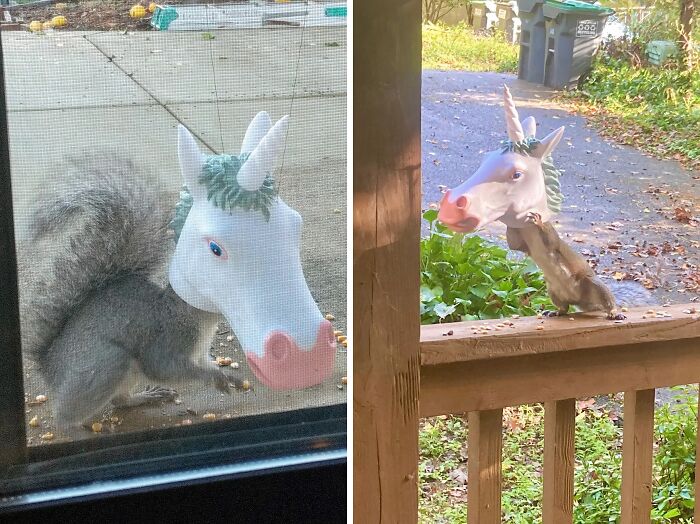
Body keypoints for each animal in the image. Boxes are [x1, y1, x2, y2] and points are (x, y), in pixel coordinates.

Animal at [17, 155, 238, 430]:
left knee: (120, 401)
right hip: (107, 363)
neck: (192, 316)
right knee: (66, 415)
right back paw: (74, 428)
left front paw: (226, 375)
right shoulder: (168, 339)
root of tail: (49, 366)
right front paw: (214, 377)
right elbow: (164, 368)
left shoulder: (199, 352)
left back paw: (146, 397)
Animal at [504, 212, 656, 320]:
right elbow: (513, 243)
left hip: (593, 285)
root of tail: (580, 300)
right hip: (554, 292)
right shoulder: (523, 245)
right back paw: (556, 312)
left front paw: (537, 221)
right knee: (564, 308)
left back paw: (613, 312)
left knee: (608, 301)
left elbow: (549, 238)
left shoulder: (551, 240)